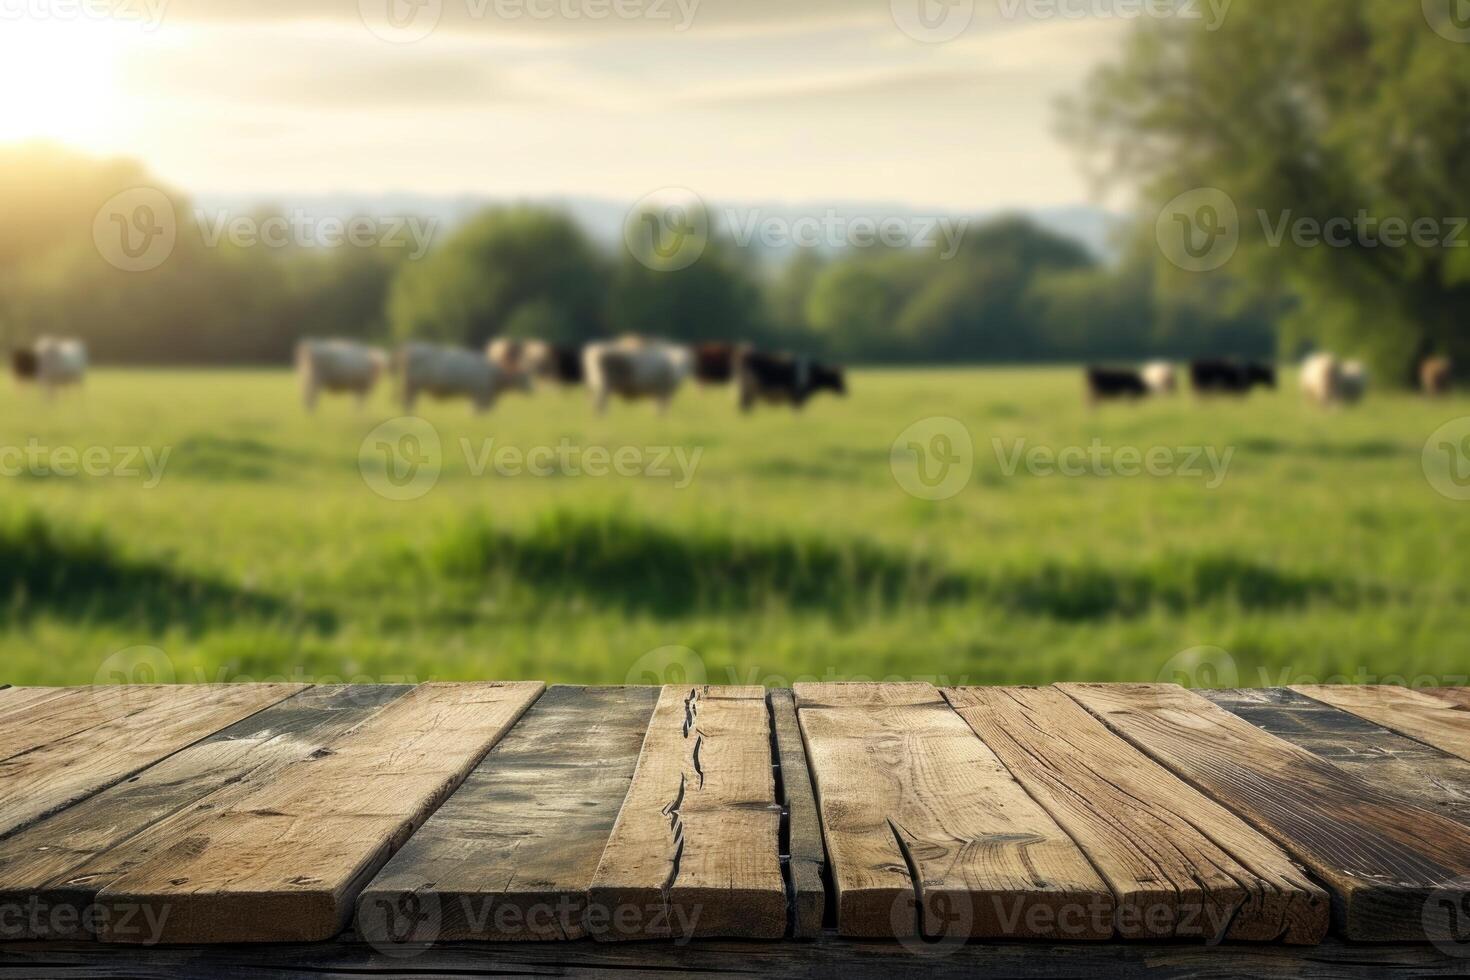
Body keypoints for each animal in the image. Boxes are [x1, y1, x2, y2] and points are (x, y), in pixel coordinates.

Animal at [393, 340, 532, 414]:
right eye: (523, 376)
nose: (533, 391)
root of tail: (409, 346)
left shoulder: (477, 396)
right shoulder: (481, 396)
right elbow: (476, 413)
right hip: (411, 385)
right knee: (407, 402)